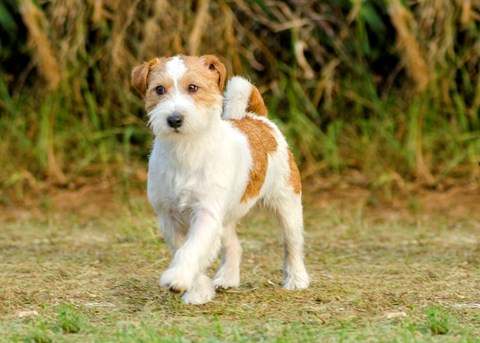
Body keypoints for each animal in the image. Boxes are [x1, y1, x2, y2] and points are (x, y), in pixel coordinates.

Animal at [131, 55, 310, 306]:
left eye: (193, 87)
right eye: (159, 89)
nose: (174, 119)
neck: (186, 150)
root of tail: (258, 119)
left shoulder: (206, 214)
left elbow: (192, 248)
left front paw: (177, 278)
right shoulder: (169, 218)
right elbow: (183, 249)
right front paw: (198, 290)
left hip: (287, 203)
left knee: (292, 244)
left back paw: (296, 279)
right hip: (225, 217)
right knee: (234, 245)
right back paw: (227, 278)